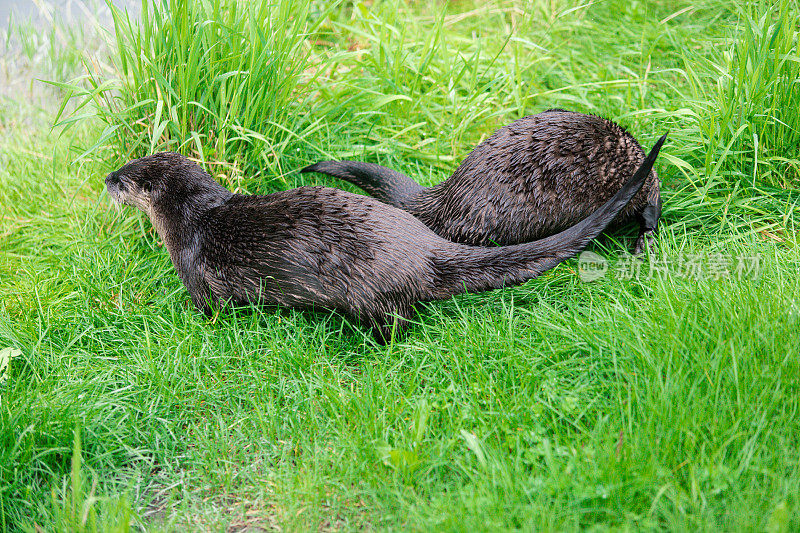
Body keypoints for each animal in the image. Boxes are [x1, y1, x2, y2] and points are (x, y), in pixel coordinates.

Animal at [106, 134, 664, 340]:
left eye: (125, 178)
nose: (106, 178)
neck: (192, 220)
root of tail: (424, 246)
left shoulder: (198, 273)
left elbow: (209, 309)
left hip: (371, 293)